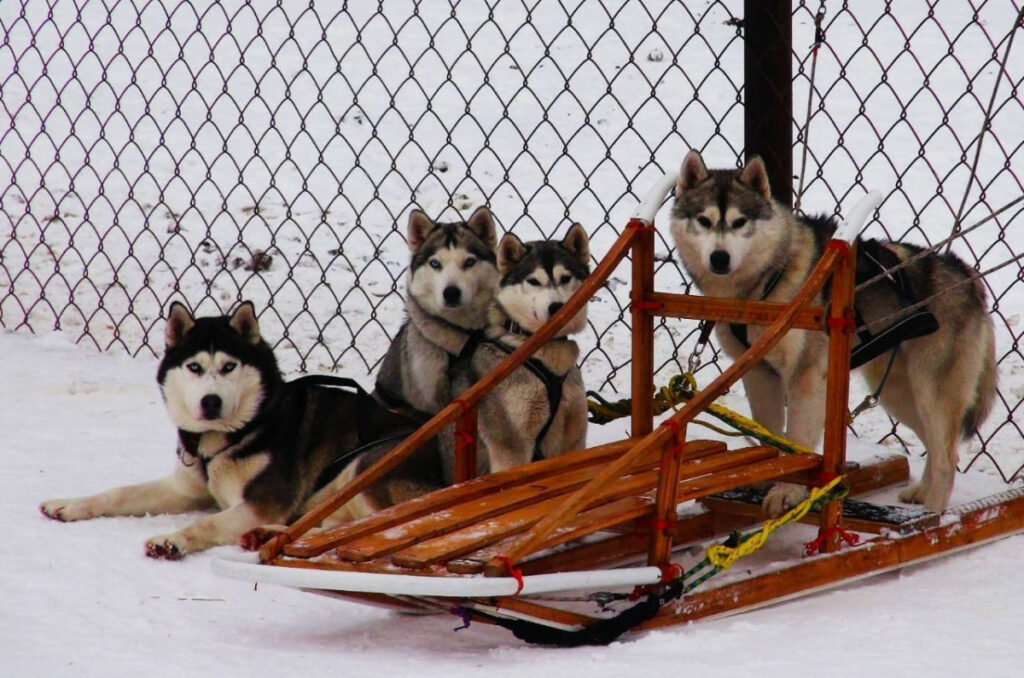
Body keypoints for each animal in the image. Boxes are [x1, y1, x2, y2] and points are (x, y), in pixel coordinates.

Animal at [37, 305, 417, 561]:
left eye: (229, 366)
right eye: (194, 367)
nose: (211, 401)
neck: (234, 433)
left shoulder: (259, 504)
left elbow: (206, 524)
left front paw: (173, 540)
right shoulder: (185, 489)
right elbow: (119, 493)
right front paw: (70, 504)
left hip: (367, 464)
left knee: (367, 528)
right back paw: (265, 537)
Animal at [667, 150, 995, 516]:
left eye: (739, 222)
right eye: (704, 221)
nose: (720, 258)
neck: (764, 284)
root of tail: (966, 274)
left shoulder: (806, 376)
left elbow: (796, 438)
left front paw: (788, 492)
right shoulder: (759, 374)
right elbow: (769, 433)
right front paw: (768, 476)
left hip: (931, 391)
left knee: (947, 457)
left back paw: (932, 515)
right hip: (898, 391)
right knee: (933, 446)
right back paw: (921, 494)